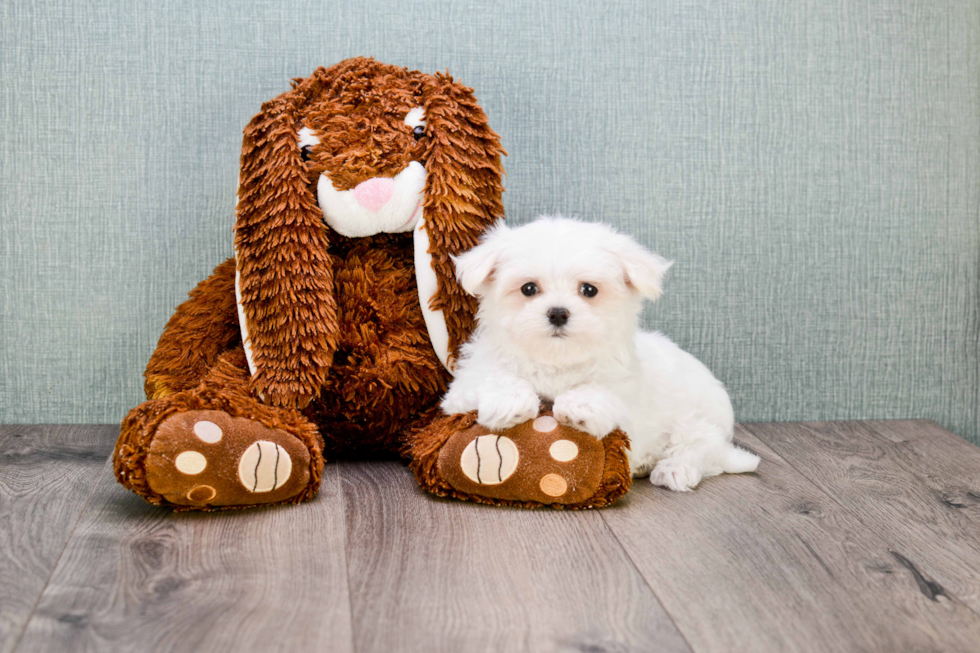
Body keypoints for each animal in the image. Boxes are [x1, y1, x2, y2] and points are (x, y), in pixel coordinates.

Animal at [440, 215, 760, 488]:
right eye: (528, 288)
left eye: (589, 290)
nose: (558, 313)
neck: (556, 361)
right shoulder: (462, 389)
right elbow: (494, 379)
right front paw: (510, 401)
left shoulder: (629, 402)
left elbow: (605, 392)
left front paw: (579, 405)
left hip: (694, 419)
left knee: (703, 447)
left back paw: (674, 469)